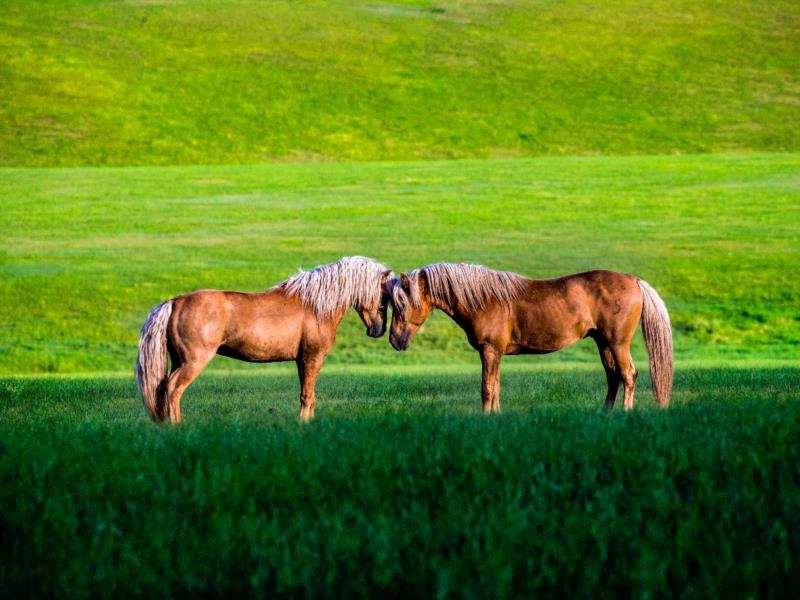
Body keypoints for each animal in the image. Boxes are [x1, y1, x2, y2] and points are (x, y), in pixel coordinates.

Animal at [136, 256, 392, 423]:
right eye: (383, 297)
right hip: (193, 361)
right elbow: (307, 396)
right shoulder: (312, 358)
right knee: (173, 389)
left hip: (178, 360)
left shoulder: (301, 361)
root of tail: (175, 301)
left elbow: (306, 396)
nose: (378, 330)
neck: (315, 306)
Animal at [387, 263, 672, 413]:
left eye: (401, 305)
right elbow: (496, 387)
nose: (394, 341)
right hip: (602, 342)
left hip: (617, 342)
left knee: (628, 375)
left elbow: (487, 389)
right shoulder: (496, 354)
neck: (484, 299)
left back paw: (625, 412)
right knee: (613, 377)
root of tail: (634, 280)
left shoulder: (490, 351)